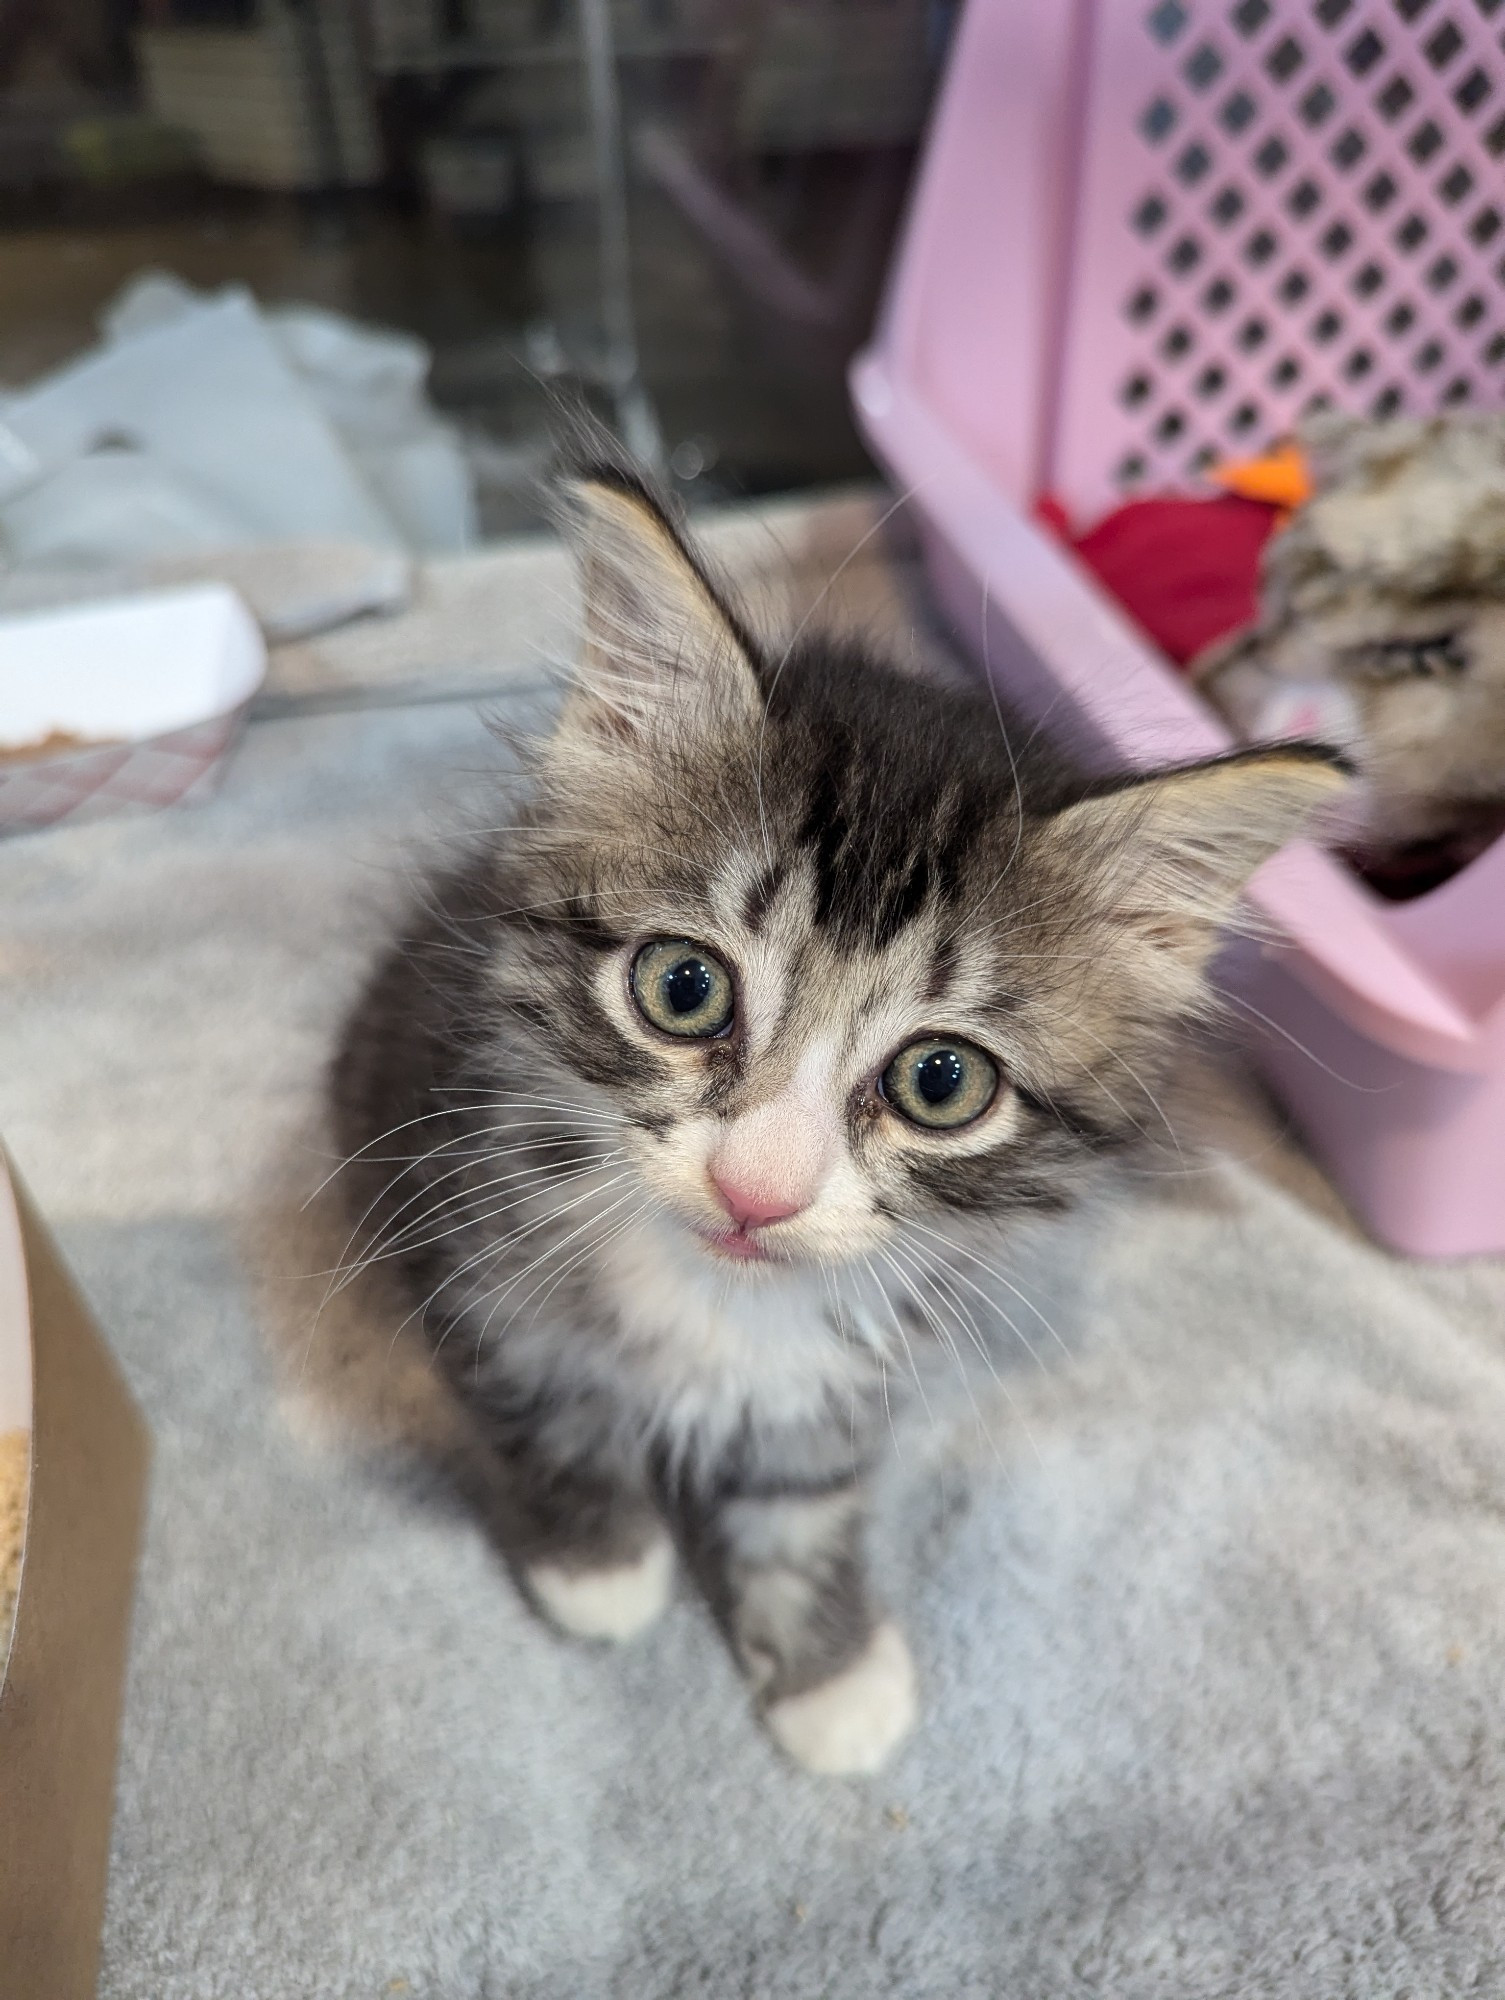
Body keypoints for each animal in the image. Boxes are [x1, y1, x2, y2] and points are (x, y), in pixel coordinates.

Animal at [328, 472, 1336, 1784]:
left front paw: (828, 1669)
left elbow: (801, 1498)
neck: (720, 1302)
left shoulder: (850, 1366)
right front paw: (601, 1565)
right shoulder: (469, 1241)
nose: (757, 1190)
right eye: (682, 987)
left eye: (940, 1080)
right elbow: (547, 1417)